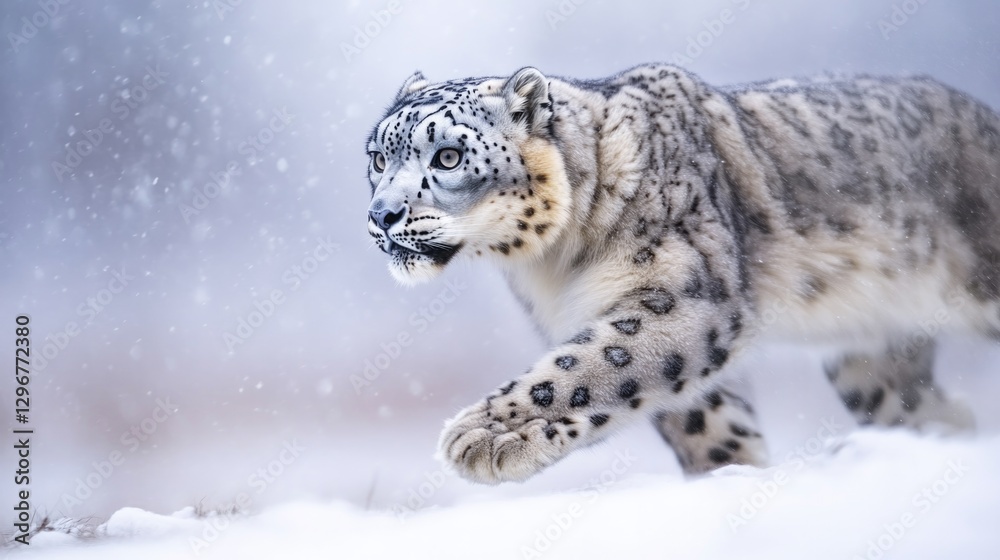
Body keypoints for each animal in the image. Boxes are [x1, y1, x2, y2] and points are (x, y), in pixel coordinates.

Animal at [364, 63, 998, 484]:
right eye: (378, 157)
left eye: (448, 156)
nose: (380, 214)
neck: (554, 265)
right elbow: (699, 417)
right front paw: (732, 472)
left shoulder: (684, 295)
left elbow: (593, 364)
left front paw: (484, 435)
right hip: (870, 364)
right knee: (927, 406)